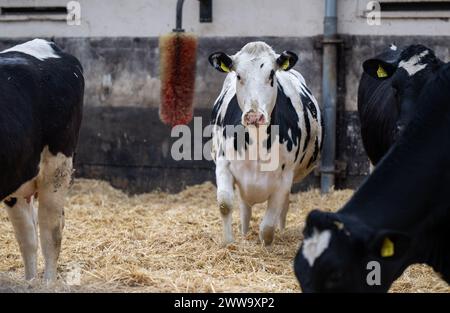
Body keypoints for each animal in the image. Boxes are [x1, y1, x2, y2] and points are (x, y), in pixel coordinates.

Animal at [0, 38, 83, 280]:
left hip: (57, 170)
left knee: (50, 234)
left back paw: (47, 283)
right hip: (17, 181)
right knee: (28, 238)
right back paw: (30, 282)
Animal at [209, 41, 322, 245]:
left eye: (271, 74)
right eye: (238, 75)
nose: (254, 115)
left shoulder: (284, 178)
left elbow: (268, 225)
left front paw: (266, 246)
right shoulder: (223, 163)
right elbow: (225, 204)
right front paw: (229, 243)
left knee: (283, 208)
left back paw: (282, 231)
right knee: (245, 207)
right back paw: (244, 232)